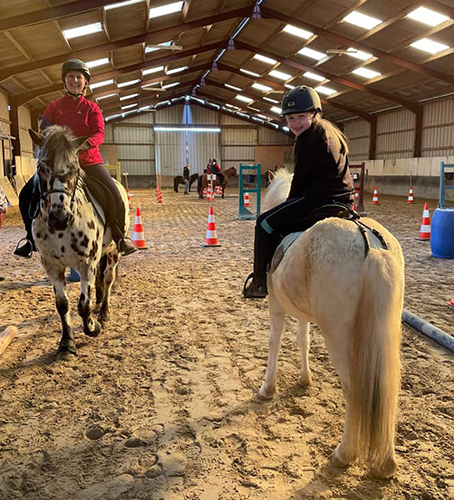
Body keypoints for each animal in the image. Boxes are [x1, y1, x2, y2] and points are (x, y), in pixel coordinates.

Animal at [29, 125, 129, 360]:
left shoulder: (87, 262)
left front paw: (93, 327)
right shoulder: (52, 265)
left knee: (108, 279)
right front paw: (66, 344)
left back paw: (103, 314)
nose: (59, 218)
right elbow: (62, 305)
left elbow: (83, 305)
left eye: (75, 169)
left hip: (113, 253)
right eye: (41, 168)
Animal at [255, 170, 404, 478]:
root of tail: (370, 243)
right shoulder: (302, 312)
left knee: (354, 390)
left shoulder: (276, 304)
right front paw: (304, 379)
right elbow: (303, 340)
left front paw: (268, 389)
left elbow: (275, 341)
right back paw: (386, 463)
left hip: (340, 339)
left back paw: (344, 454)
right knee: (389, 390)